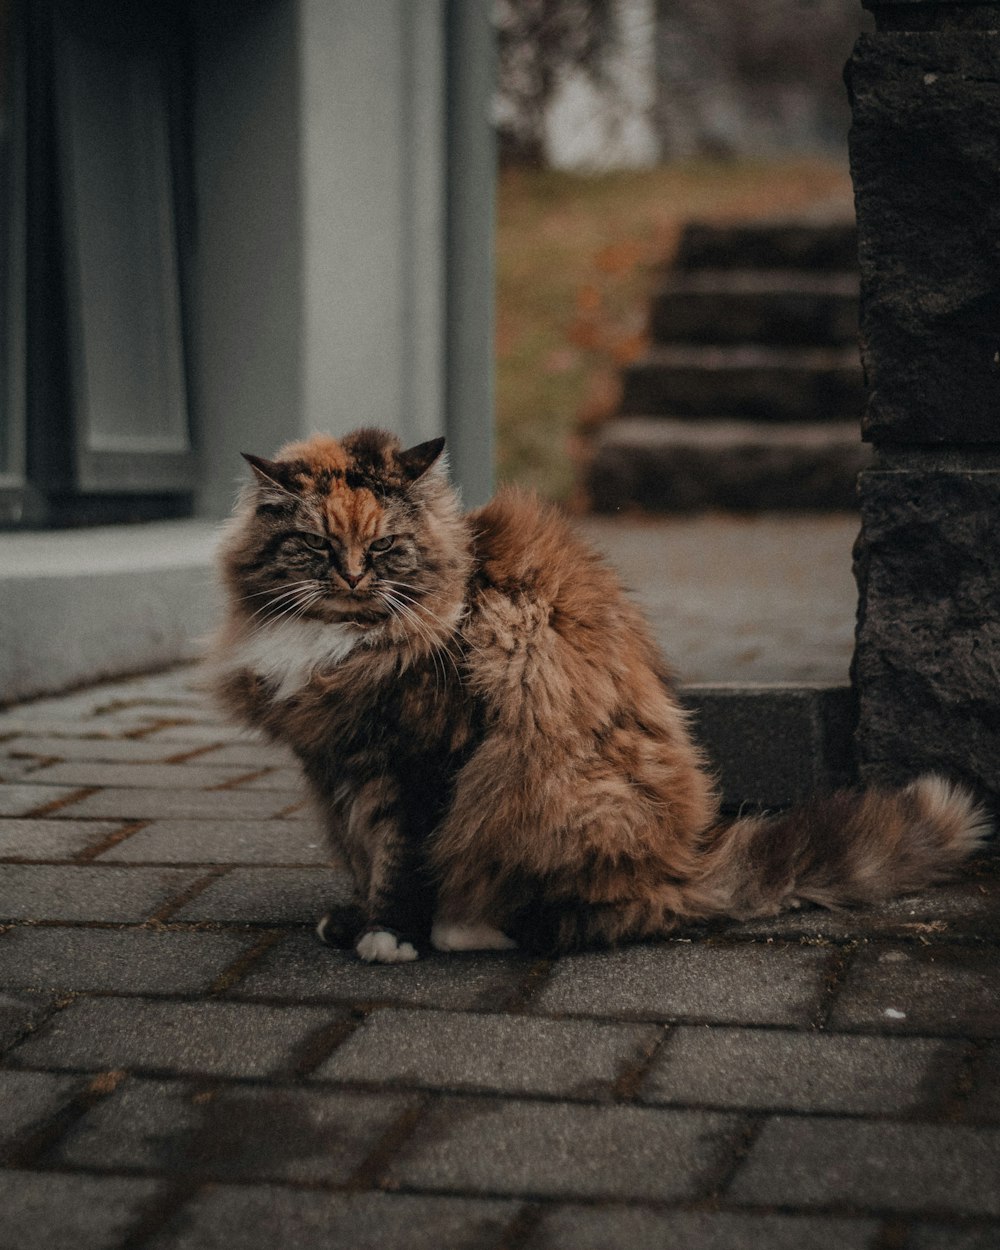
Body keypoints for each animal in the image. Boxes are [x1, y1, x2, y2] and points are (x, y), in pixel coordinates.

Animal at [211, 425, 990, 960]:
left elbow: (401, 858)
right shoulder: (334, 766)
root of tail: (684, 867)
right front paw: (355, 919)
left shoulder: (420, 761)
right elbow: (363, 853)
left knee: (591, 916)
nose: (350, 577)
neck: (345, 644)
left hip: (561, 799)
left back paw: (471, 929)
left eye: (381, 548)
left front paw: (393, 936)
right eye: (317, 546)